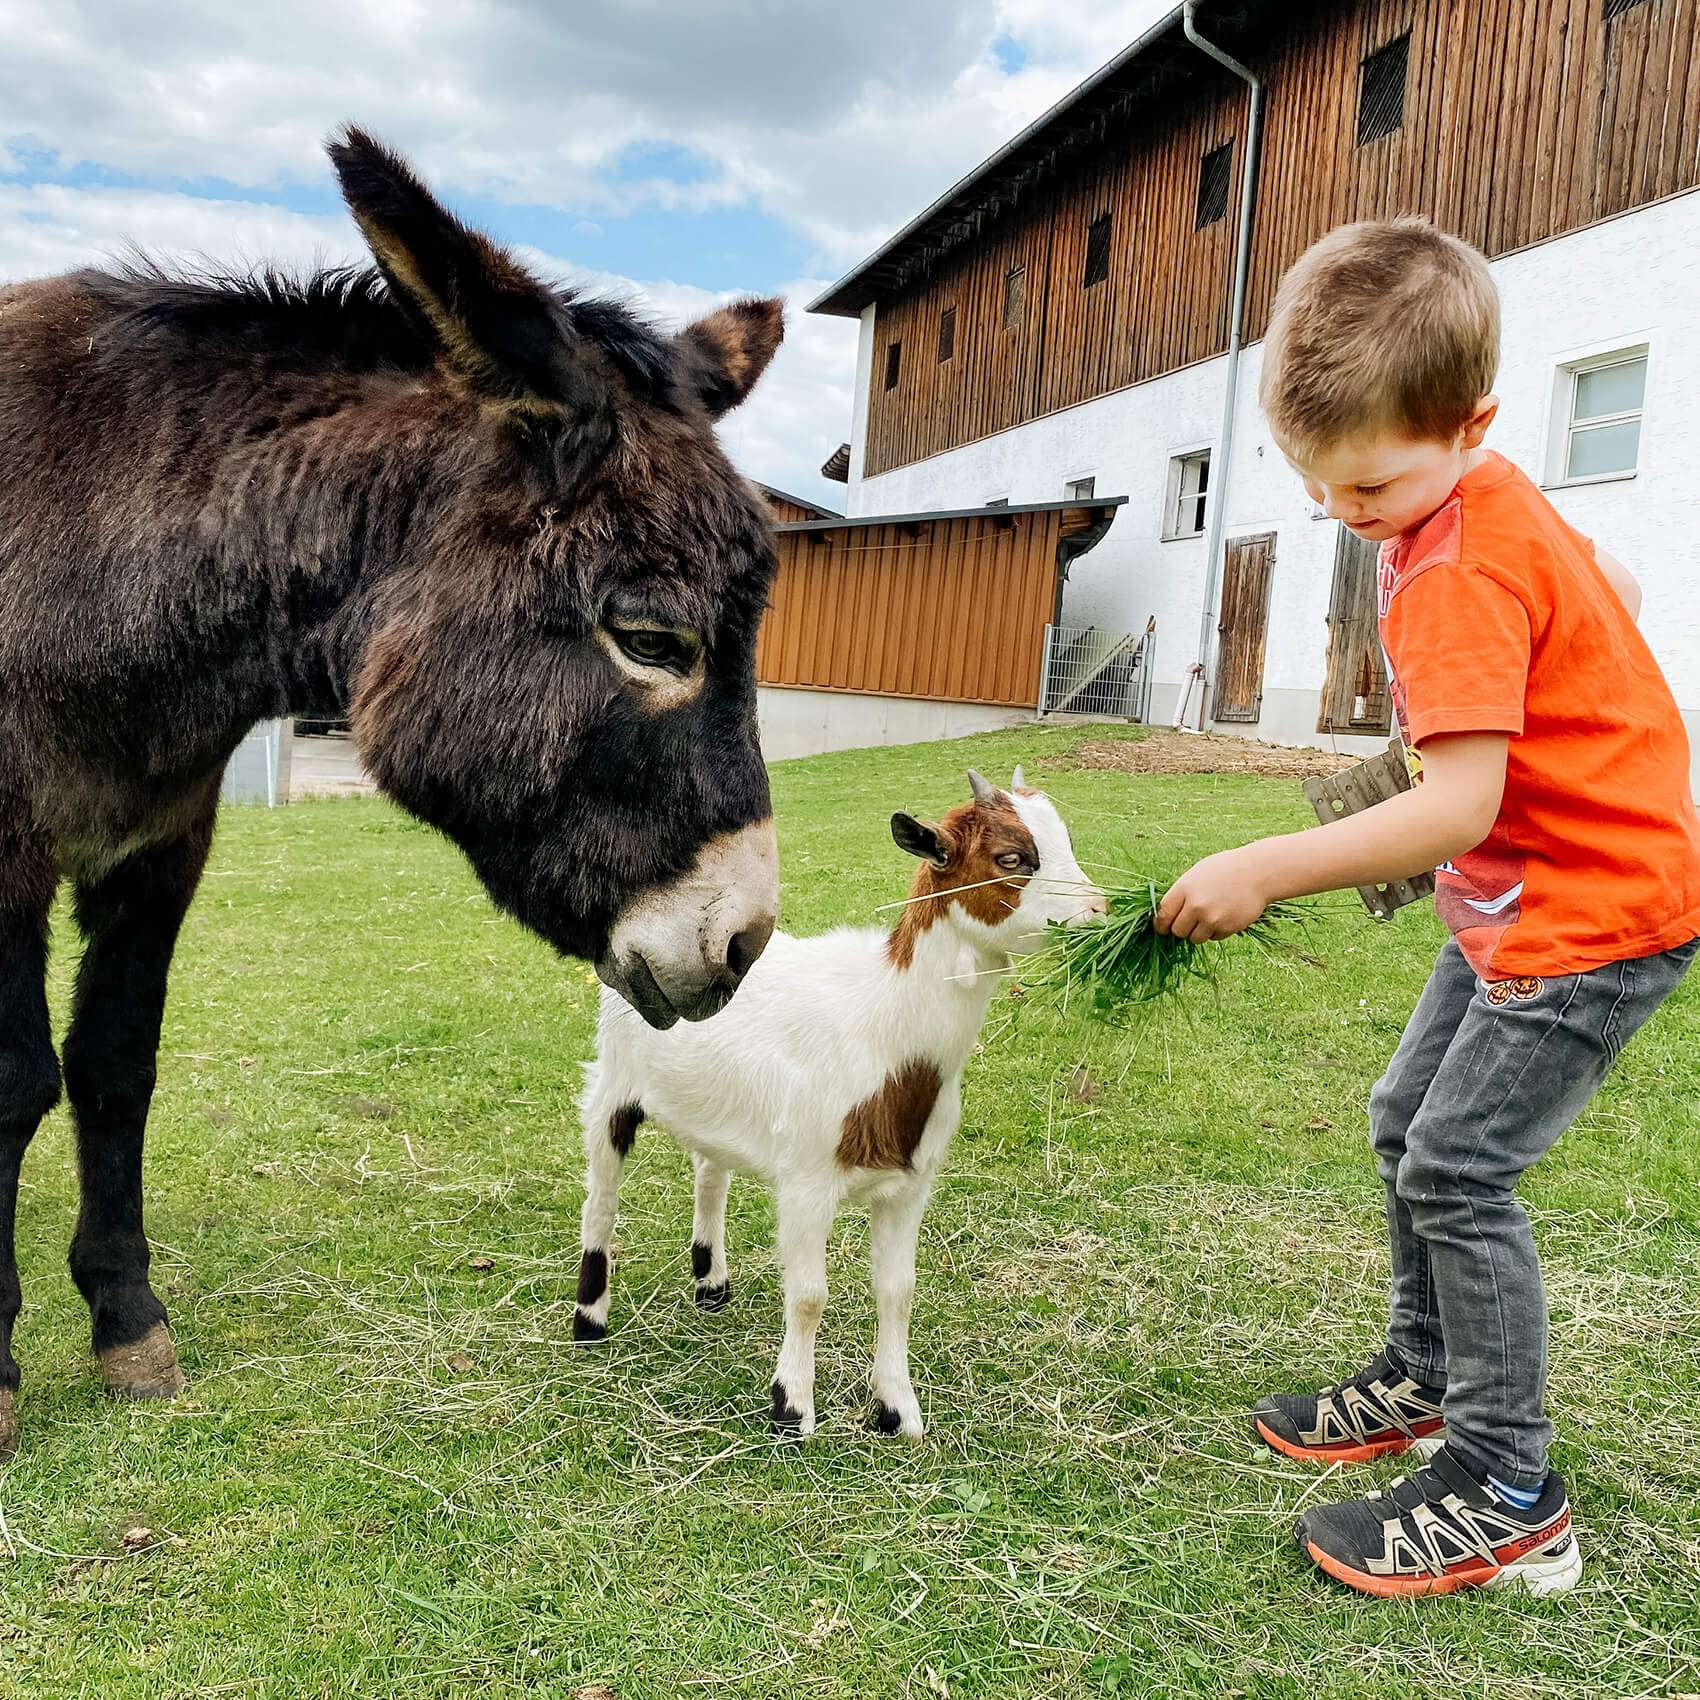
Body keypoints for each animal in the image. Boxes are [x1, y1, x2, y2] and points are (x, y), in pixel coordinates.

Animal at [571, 768, 1101, 1434]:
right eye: (1011, 858)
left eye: (1067, 838)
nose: (1100, 908)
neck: (882, 1026)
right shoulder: (806, 1179)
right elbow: (807, 1295)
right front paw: (791, 1407)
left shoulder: (910, 1183)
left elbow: (898, 1289)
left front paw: (896, 1408)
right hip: (614, 1079)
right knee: (602, 1195)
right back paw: (590, 1319)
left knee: (709, 1172)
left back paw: (711, 1284)